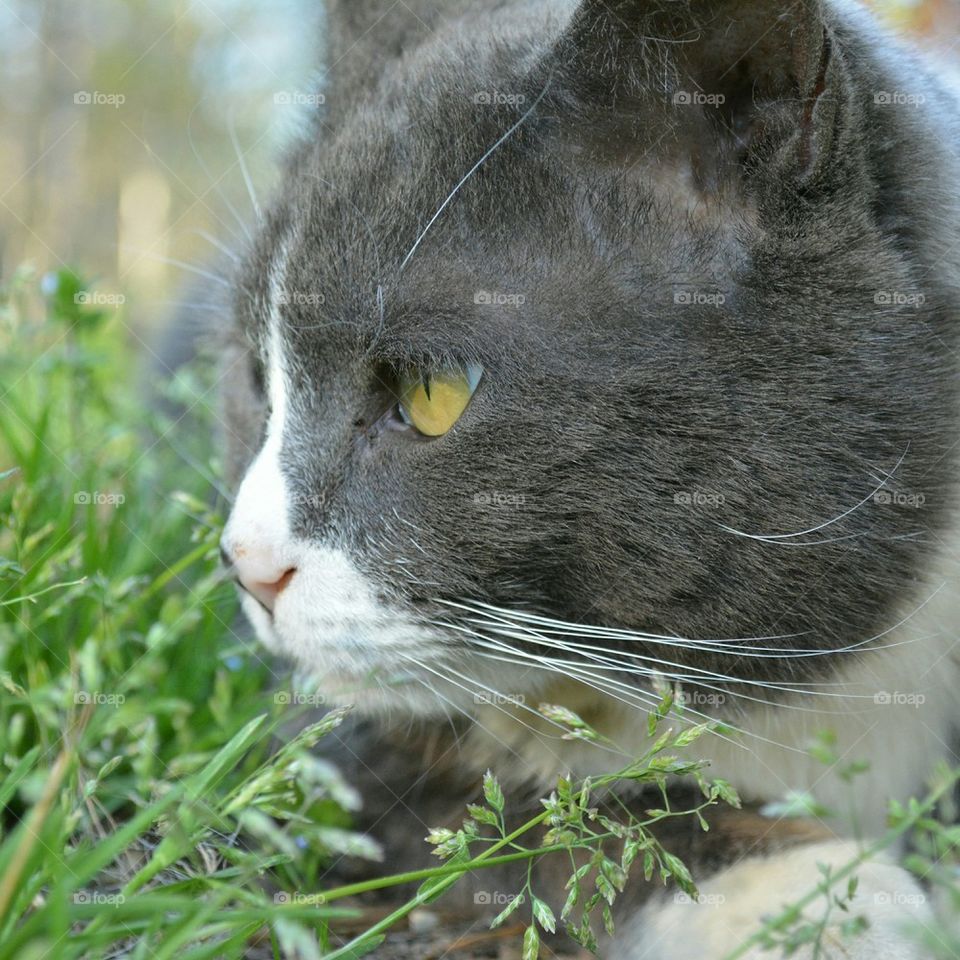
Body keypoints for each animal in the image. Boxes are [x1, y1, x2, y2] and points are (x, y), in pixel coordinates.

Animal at [214, 3, 960, 956]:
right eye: (257, 378)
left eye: (431, 391)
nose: (247, 564)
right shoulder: (329, 766)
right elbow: (517, 831)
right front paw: (818, 898)